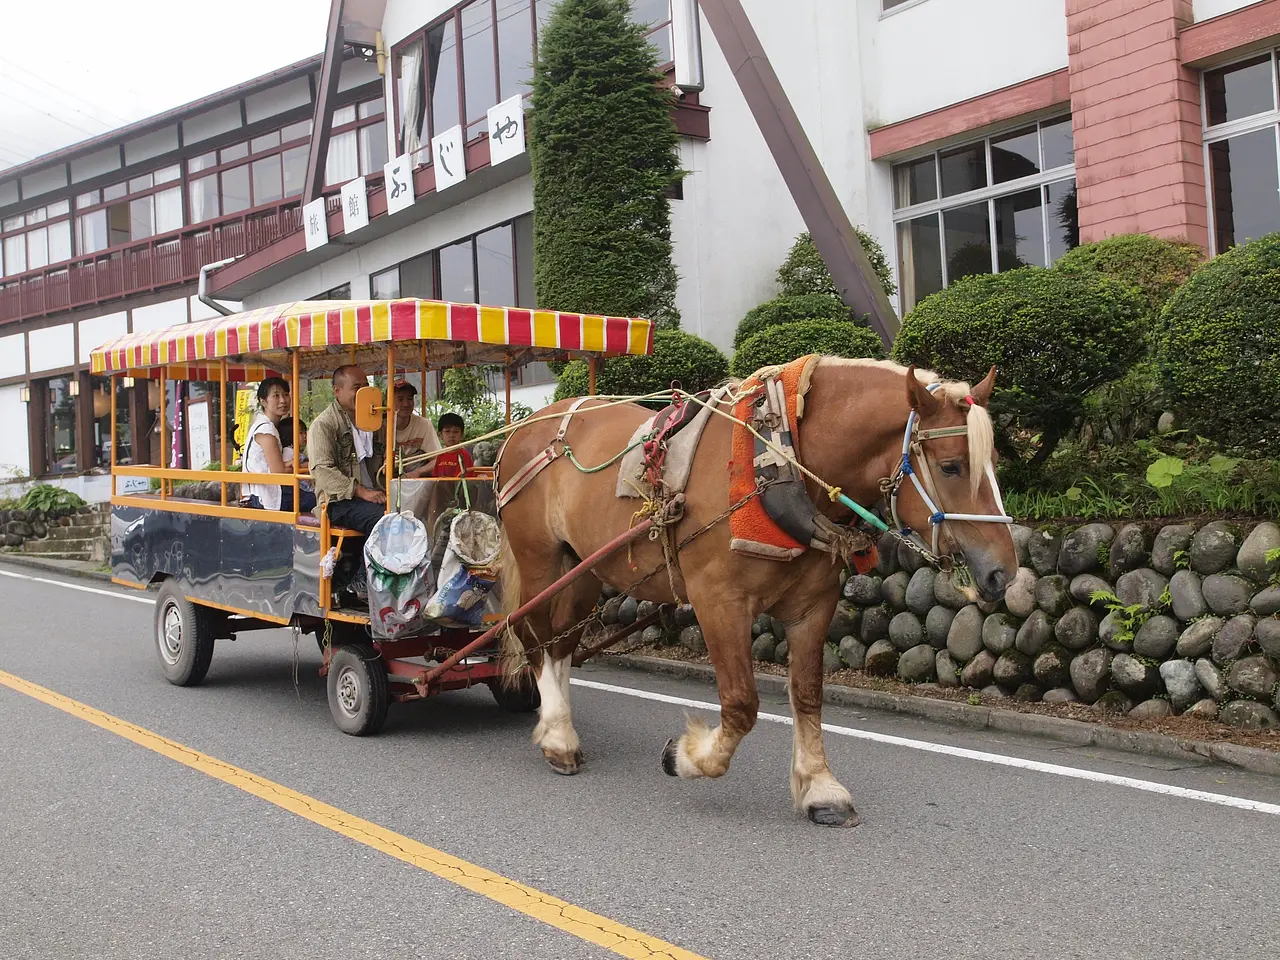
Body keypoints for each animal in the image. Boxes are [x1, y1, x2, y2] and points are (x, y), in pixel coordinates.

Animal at [494, 358, 1013, 829]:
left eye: (994, 465)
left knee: (561, 641)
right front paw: (688, 757)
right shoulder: (718, 603)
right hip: (539, 559)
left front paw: (820, 788)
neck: (784, 459)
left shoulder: (813, 606)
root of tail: (526, 428)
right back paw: (558, 737)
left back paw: (559, 722)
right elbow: (742, 703)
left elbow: (807, 694)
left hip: (582, 567)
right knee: (531, 633)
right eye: (951, 467)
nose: (1003, 574)